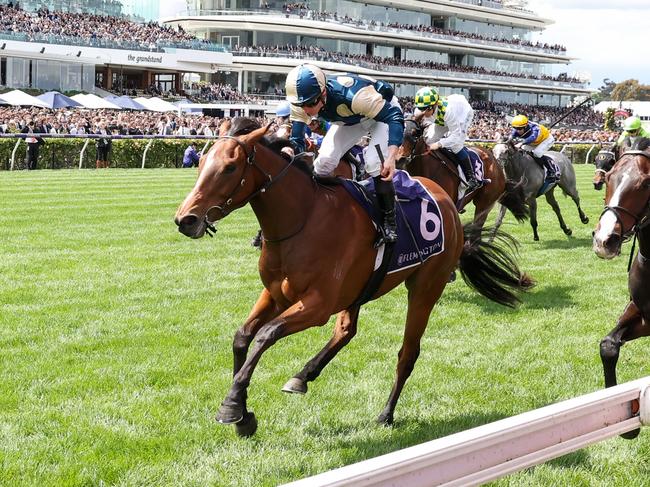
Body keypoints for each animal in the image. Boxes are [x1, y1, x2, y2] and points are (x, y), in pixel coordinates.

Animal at [173, 118, 532, 438]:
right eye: (201, 161)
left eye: (230, 167)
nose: (186, 219)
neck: (304, 218)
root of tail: (443, 199)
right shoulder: (276, 294)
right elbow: (243, 337)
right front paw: (244, 416)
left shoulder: (318, 305)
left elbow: (266, 335)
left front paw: (232, 407)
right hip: (361, 288)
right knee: (347, 330)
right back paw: (304, 375)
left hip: (426, 285)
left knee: (408, 352)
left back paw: (386, 413)